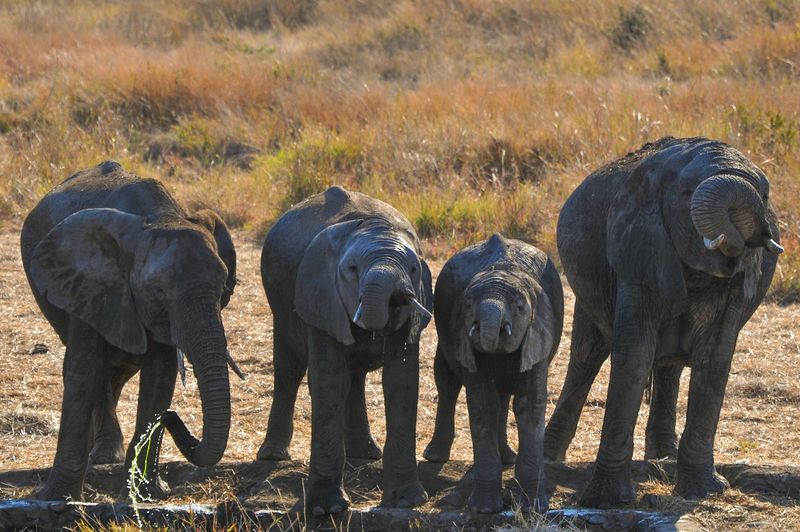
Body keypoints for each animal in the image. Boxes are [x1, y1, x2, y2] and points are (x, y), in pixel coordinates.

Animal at [20, 160, 237, 500]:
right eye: (158, 291)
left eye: (223, 289)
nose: (173, 417)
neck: (158, 217)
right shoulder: (89, 281)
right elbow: (83, 371)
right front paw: (58, 499)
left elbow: (160, 375)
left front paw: (146, 495)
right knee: (90, 367)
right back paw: (101, 457)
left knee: (118, 369)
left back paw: (105, 455)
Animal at [257, 186, 433, 514]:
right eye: (352, 269)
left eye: (414, 269)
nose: (397, 298)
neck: (374, 226)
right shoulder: (322, 297)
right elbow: (328, 381)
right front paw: (326, 510)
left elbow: (401, 382)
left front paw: (407, 502)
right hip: (282, 305)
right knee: (289, 370)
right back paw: (272, 456)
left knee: (355, 377)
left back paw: (365, 454)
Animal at [423, 234, 563, 513]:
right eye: (468, 305)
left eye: (520, 307)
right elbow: (483, 404)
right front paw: (485, 509)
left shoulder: (539, 333)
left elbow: (529, 404)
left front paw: (532, 508)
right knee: (447, 382)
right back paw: (434, 456)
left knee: (503, 398)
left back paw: (507, 457)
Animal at [543, 137, 782, 507]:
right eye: (687, 192)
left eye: (766, 195)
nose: (746, 238)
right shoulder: (637, 251)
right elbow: (634, 356)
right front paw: (608, 500)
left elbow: (714, 360)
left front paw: (703, 491)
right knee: (585, 358)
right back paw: (547, 458)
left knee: (670, 365)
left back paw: (663, 458)